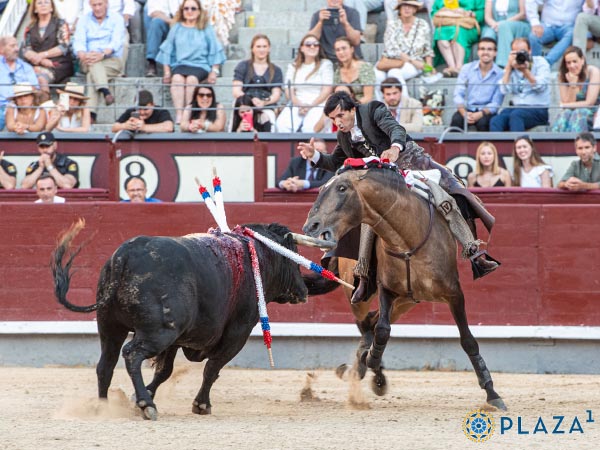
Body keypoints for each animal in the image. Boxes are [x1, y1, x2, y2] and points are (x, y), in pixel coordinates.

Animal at [51, 220, 310, 420]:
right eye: (293, 259)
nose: (304, 290)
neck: (254, 255)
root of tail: (125, 255)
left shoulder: (177, 341)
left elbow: (164, 372)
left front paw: (141, 395)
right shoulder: (238, 333)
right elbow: (213, 368)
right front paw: (201, 405)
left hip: (110, 325)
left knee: (106, 364)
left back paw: (103, 408)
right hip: (158, 333)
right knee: (132, 354)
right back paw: (147, 406)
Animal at [304, 163, 506, 412]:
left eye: (342, 188)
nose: (311, 226)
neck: (406, 240)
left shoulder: (454, 294)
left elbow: (468, 341)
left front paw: (492, 394)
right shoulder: (386, 289)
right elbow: (383, 330)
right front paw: (371, 360)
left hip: (408, 300)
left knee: (370, 323)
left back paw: (365, 370)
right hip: (364, 296)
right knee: (367, 323)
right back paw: (366, 370)